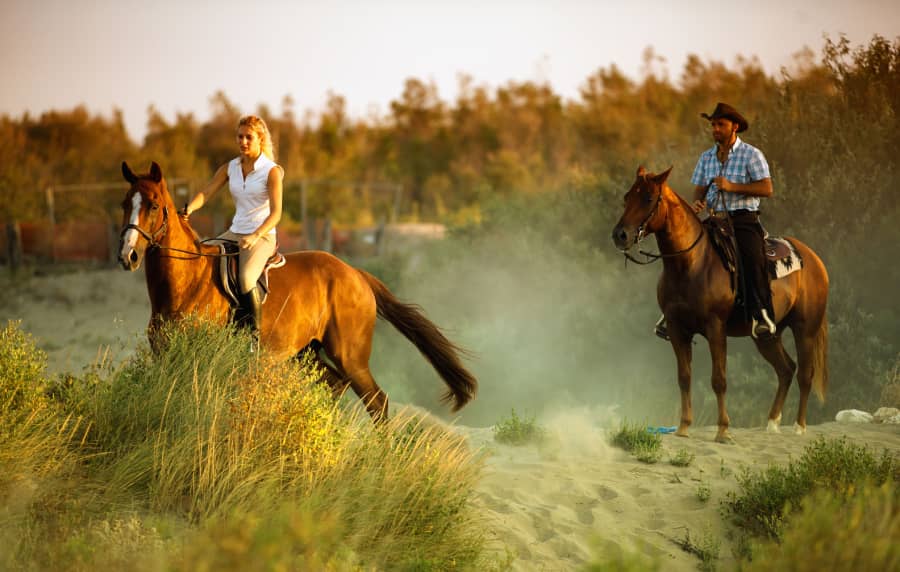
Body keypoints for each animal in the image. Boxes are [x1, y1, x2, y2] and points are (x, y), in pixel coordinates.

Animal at [118, 161, 477, 421]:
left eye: (153, 205)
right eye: (124, 204)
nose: (128, 256)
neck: (187, 284)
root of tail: (355, 274)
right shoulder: (166, 357)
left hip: (350, 356)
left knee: (377, 402)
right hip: (308, 352)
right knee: (334, 387)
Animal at [611, 166, 829, 443]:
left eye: (649, 198)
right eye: (627, 197)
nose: (620, 235)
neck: (691, 263)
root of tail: (814, 258)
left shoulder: (716, 328)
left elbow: (719, 379)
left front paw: (723, 430)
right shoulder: (676, 328)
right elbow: (684, 377)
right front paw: (683, 427)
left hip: (805, 329)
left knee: (804, 374)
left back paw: (799, 427)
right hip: (767, 335)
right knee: (786, 369)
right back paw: (772, 423)